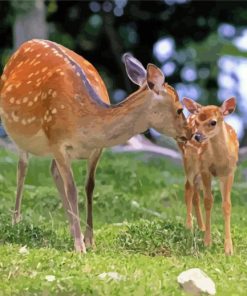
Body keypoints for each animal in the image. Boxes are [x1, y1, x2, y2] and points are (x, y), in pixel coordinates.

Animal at [0, 39, 191, 252]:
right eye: (179, 109)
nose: (190, 133)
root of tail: (26, 43)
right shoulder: (57, 141)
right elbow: (72, 189)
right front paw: (79, 246)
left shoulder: (97, 149)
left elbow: (89, 186)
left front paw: (89, 240)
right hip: (19, 134)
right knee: (22, 168)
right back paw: (16, 222)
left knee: (52, 170)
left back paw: (71, 229)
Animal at [178, 98, 238, 256]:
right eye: (197, 122)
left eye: (213, 122)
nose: (197, 136)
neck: (219, 159)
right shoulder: (205, 169)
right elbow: (208, 202)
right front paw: (207, 242)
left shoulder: (229, 172)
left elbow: (226, 205)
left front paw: (228, 249)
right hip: (189, 163)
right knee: (188, 189)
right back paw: (189, 226)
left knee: (195, 194)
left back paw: (201, 227)